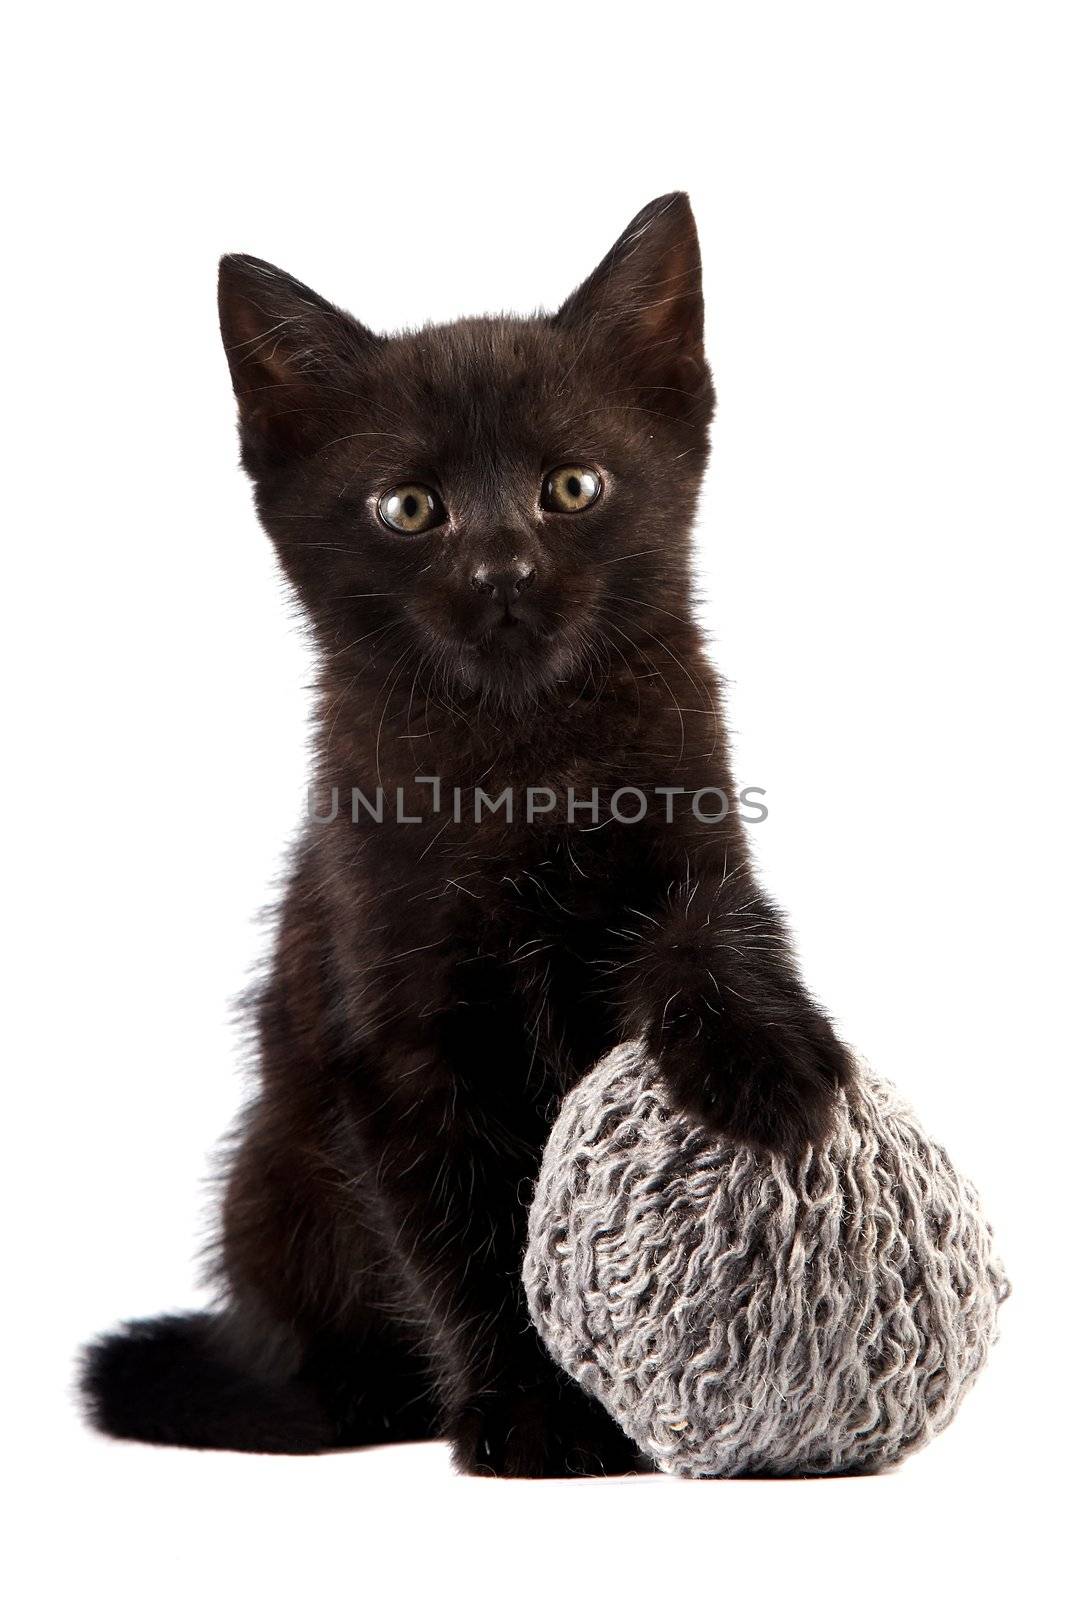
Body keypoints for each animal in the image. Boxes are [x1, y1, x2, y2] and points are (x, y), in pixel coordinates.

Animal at [81, 196, 851, 1472]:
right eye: (409, 508)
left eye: (571, 487)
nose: (502, 569)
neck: (519, 765)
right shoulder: (396, 1026)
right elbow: (468, 1228)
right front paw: (533, 1416)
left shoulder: (693, 830)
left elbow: (716, 931)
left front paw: (771, 1071)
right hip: (269, 1176)